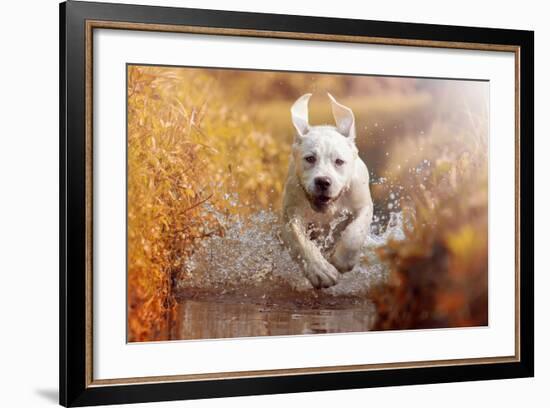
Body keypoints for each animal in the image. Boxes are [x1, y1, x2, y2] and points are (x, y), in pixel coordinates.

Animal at [280, 94, 376, 288]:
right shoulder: (290, 216)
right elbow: (300, 242)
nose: (323, 181)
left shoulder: (363, 205)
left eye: (339, 161)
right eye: (310, 158)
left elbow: (355, 233)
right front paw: (320, 271)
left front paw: (342, 260)